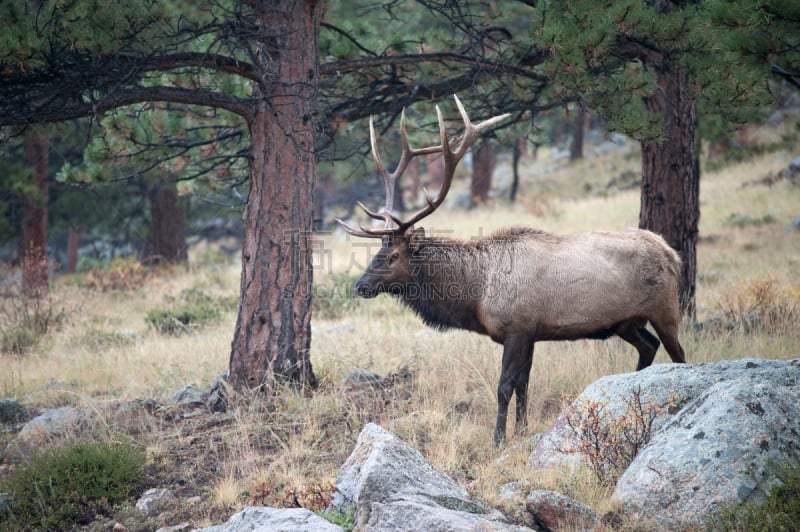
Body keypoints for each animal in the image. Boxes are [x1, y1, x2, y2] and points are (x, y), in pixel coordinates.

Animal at [338, 95, 688, 444]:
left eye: (394, 255)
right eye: (378, 250)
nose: (360, 285)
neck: (477, 294)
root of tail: (674, 255)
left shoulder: (517, 327)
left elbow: (504, 385)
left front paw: (498, 438)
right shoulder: (532, 331)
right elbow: (523, 384)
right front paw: (521, 430)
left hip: (665, 309)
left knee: (679, 354)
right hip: (625, 322)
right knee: (649, 346)